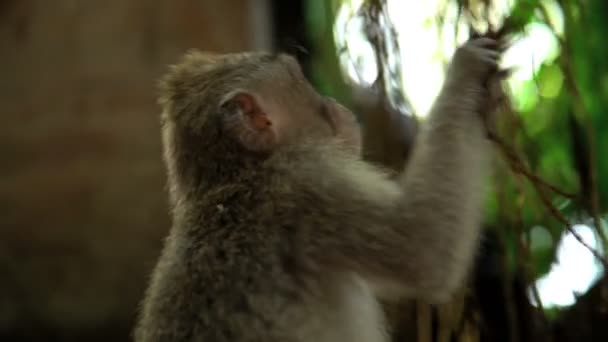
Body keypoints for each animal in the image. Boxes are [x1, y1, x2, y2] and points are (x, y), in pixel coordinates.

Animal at [135, 37, 506, 342]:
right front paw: (468, 70)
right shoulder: (307, 181)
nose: (331, 100)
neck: (235, 177)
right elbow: (423, 245)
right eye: (303, 81)